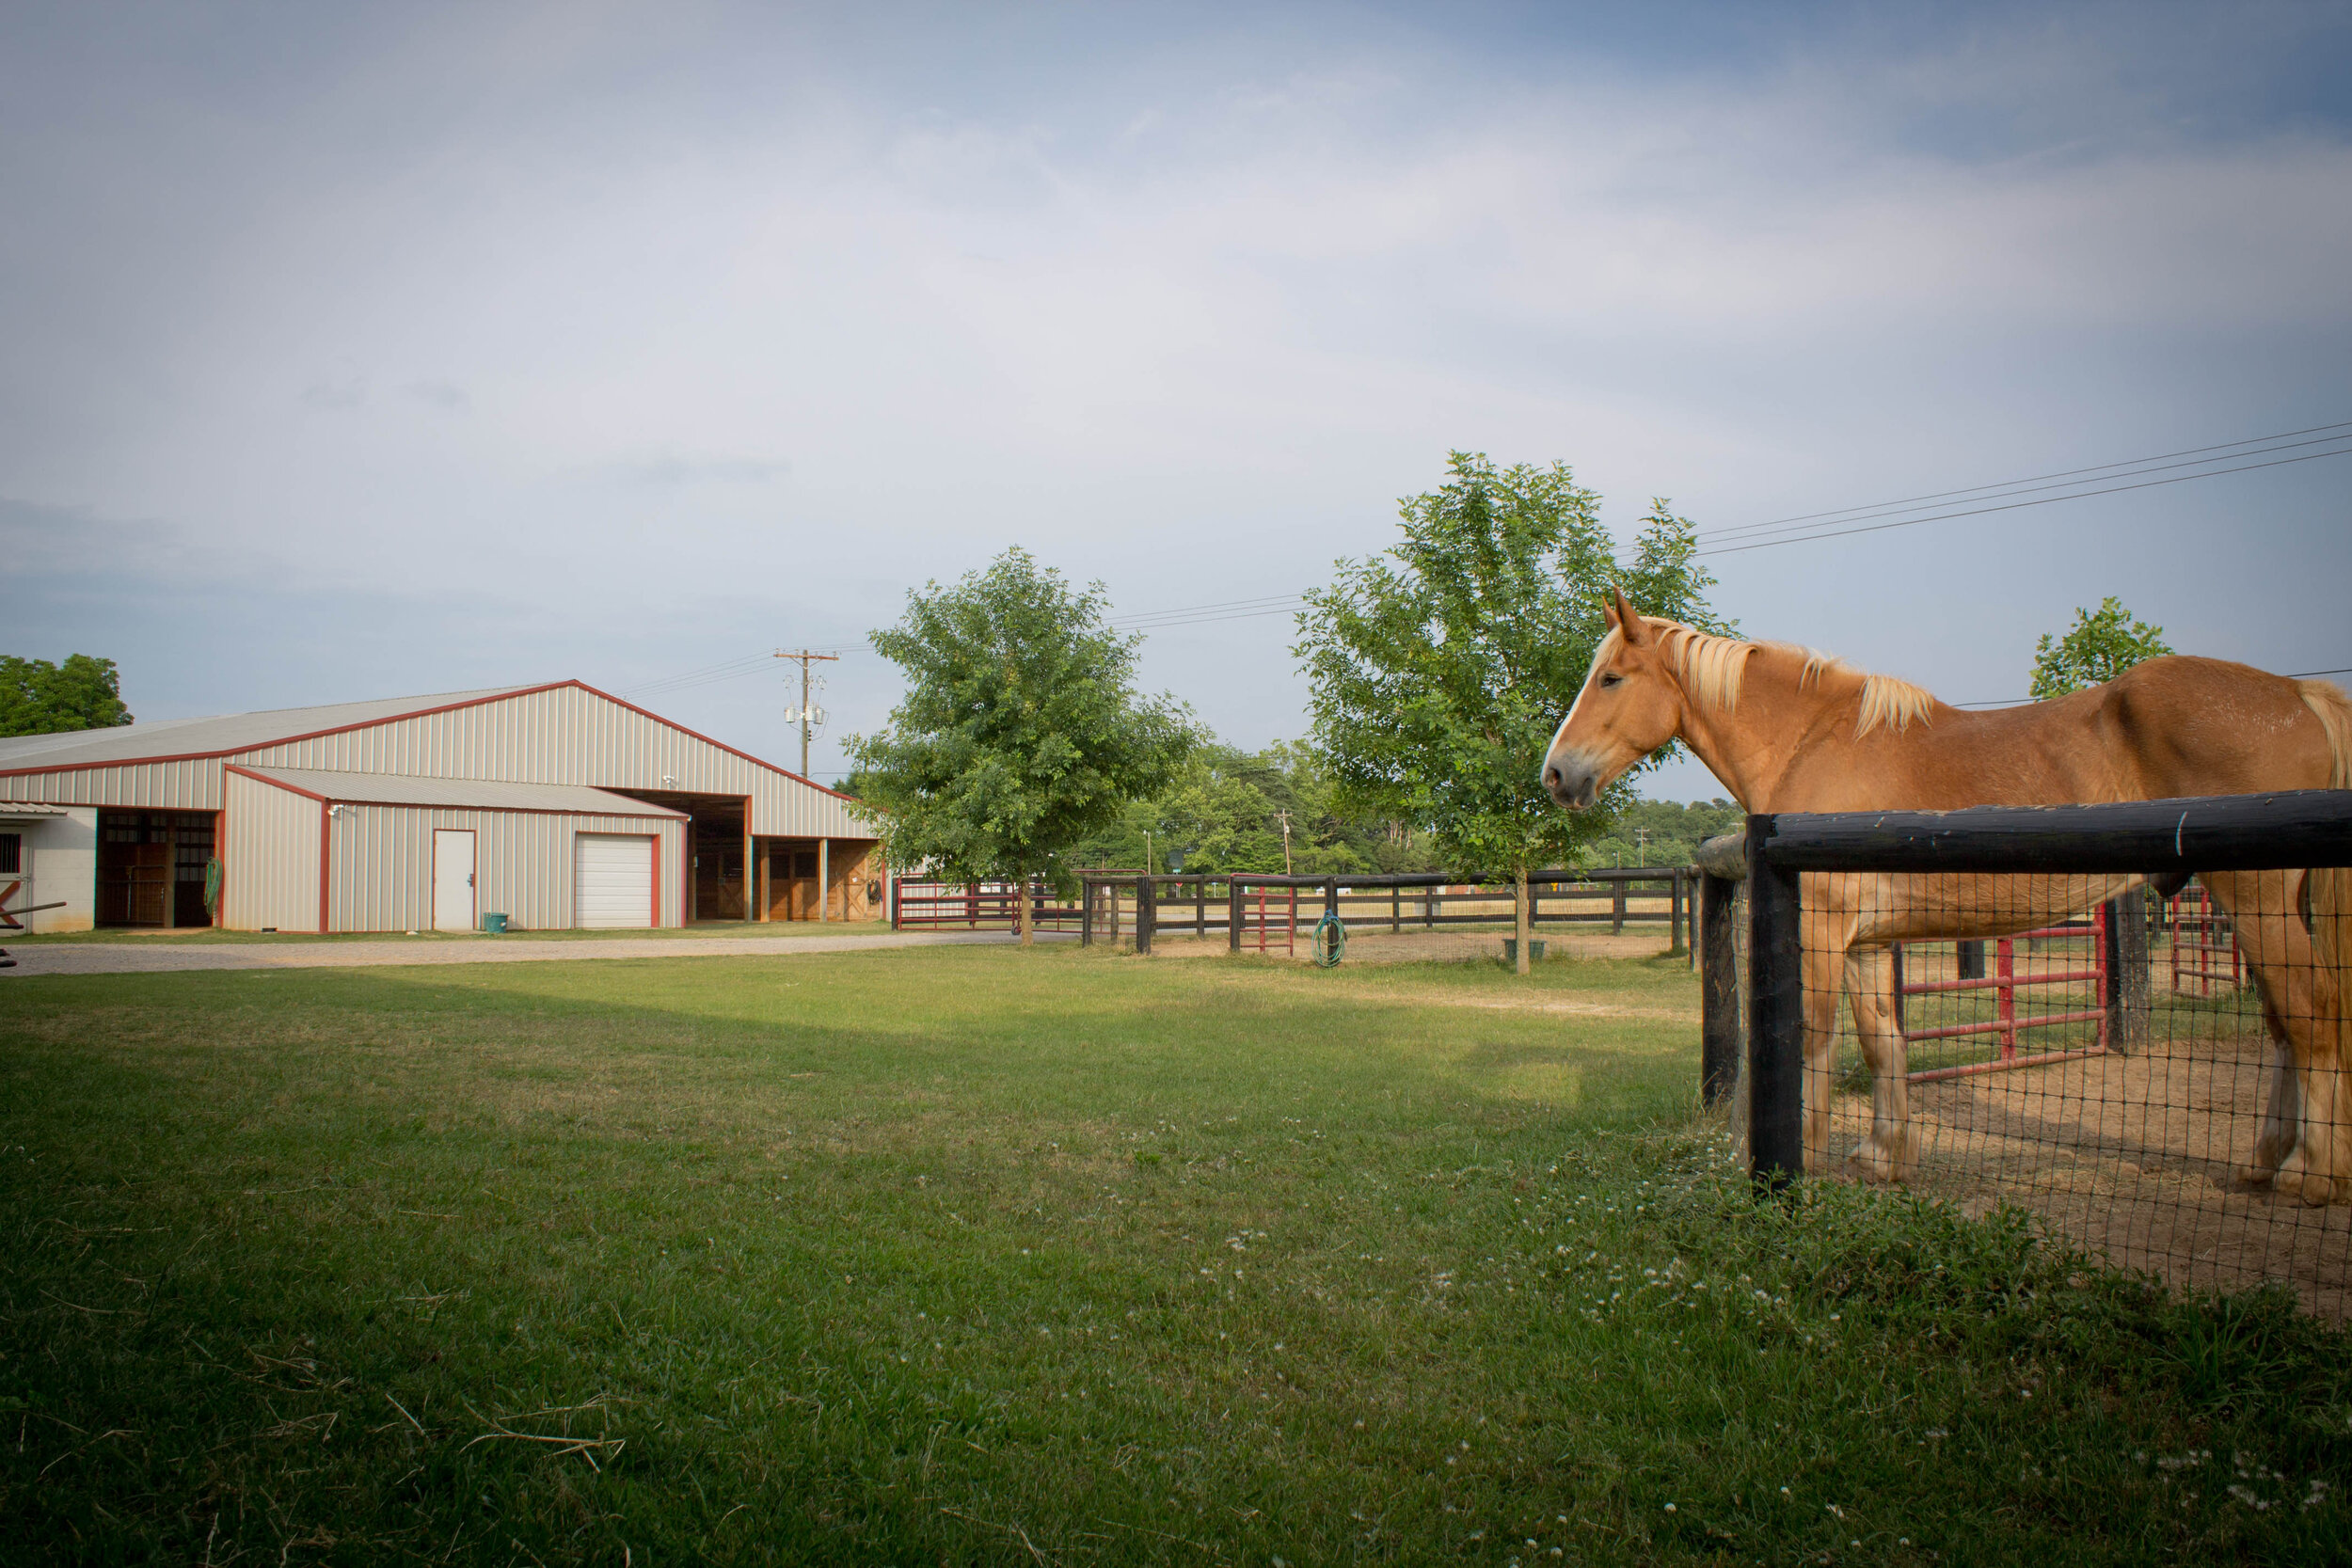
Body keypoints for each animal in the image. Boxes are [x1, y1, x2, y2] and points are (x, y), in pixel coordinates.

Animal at [1543, 587, 2352, 1203]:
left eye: (1611, 677)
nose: (1556, 773)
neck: (1815, 740)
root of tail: (2299, 694)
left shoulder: (1822, 927)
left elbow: (1812, 1038)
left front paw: (1800, 1159)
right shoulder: (1866, 944)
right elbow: (1881, 1043)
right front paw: (1883, 1156)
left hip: (2256, 899)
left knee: (2311, 1014)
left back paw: (2311, 1173)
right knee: (2287, 1023)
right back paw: (2265, 1160)